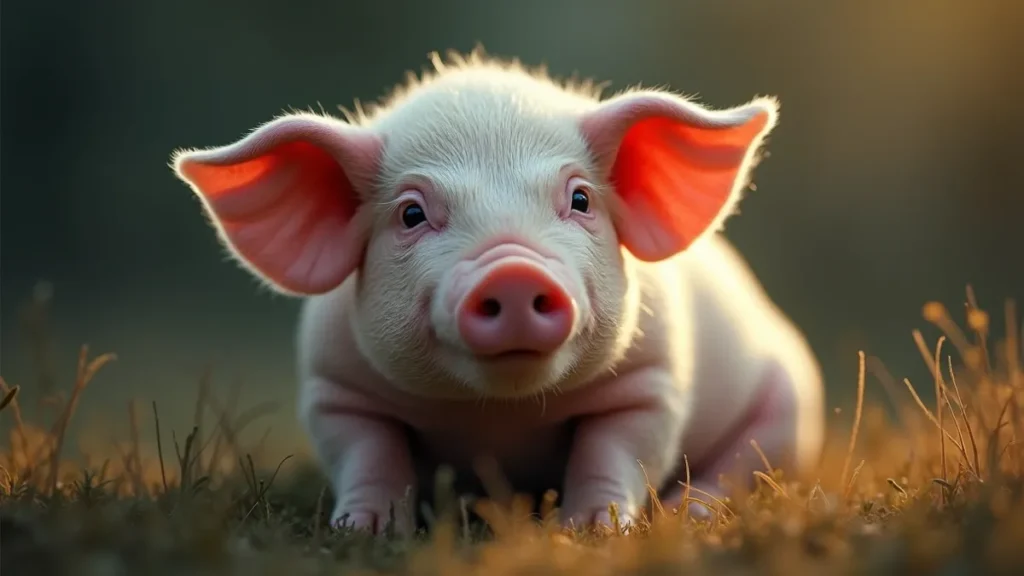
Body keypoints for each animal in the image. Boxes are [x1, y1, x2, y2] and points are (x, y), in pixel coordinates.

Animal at [170, 50, 825, 533]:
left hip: (791, 402)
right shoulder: (336, 389)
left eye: (580, 199)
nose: (512, 271)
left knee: (743, 466)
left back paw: (689, 514)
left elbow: (617, 451)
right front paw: (363, 530)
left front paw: (592, 529)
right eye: (411, 214)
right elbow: (367, 452)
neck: (498, 413)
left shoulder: (650, 382)